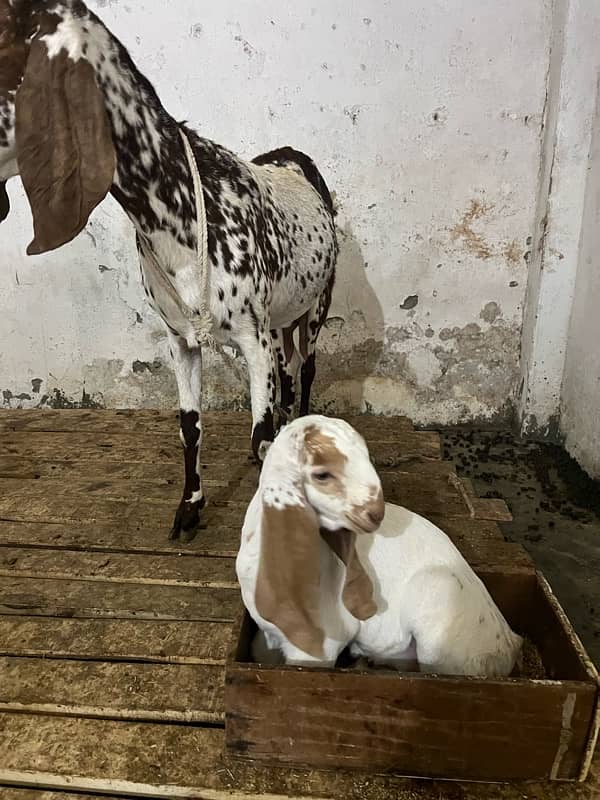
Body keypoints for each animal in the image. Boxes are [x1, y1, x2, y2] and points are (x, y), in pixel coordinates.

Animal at [0, 0, 338, 540]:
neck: (187, 208)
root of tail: (292, 156)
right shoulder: (181, 338)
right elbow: (191, 425)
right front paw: (190, 506)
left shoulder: (254, 335)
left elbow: (258, 432)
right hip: (284, 315)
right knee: (288, 372)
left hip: (317, 303)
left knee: (304, 368)